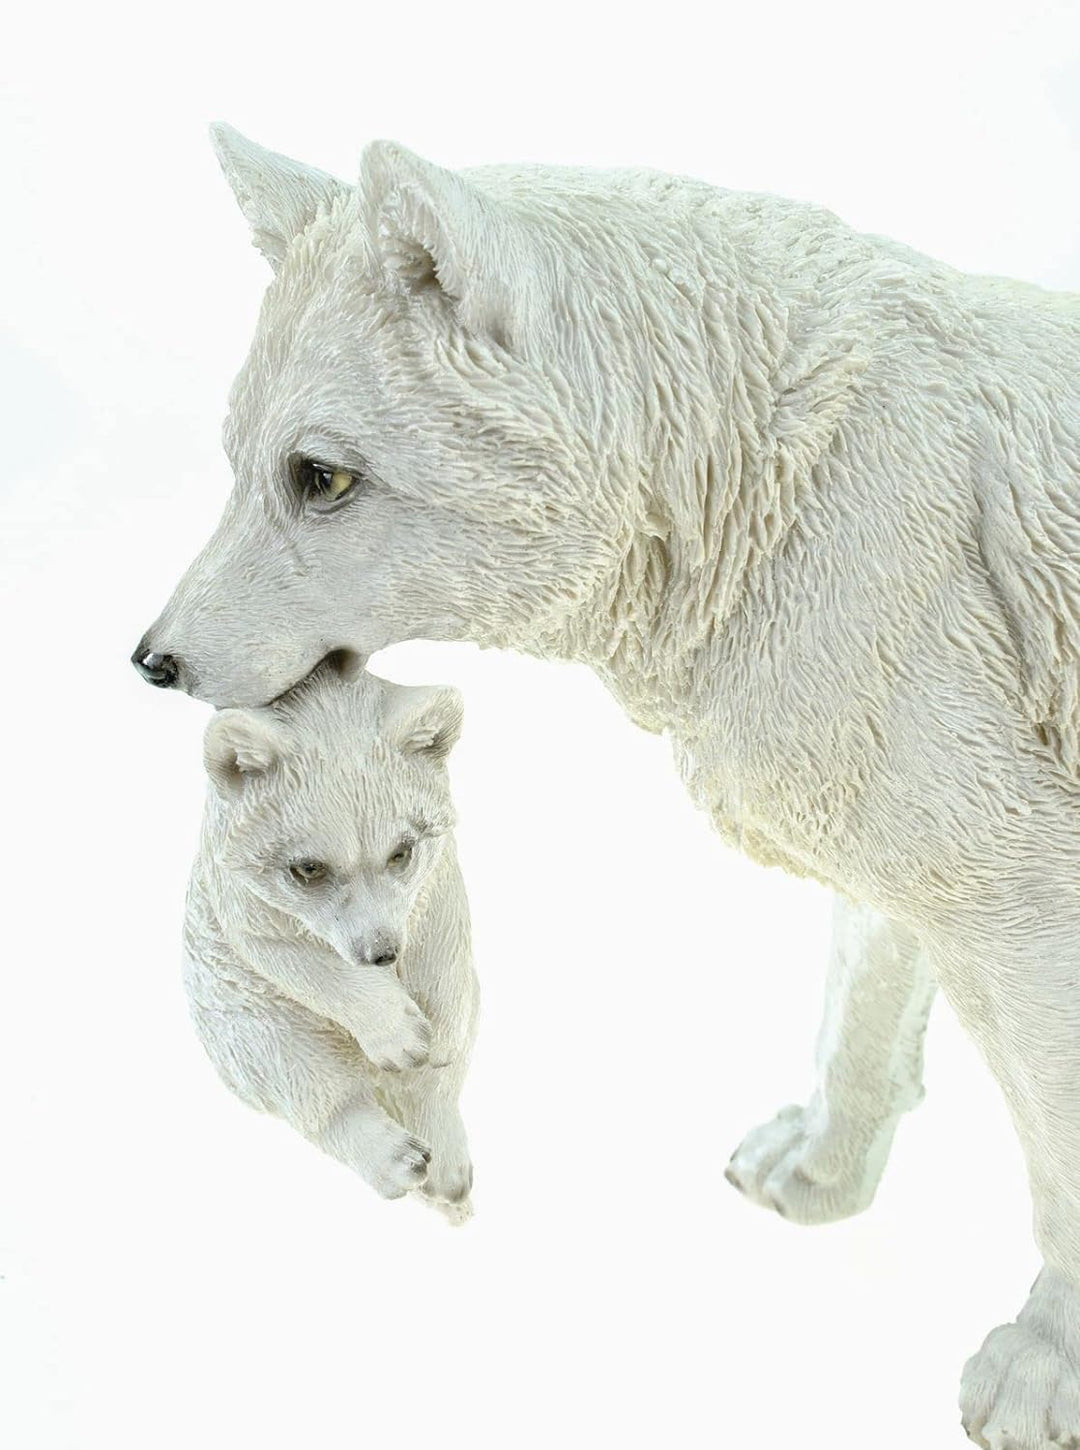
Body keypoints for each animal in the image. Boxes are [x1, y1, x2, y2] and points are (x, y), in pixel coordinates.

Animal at [184, 657, 477, 1218]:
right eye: (308, 867)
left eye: (402, 850)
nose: (380, 952)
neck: (324, 702)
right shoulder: (241, 895)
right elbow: (295, 957)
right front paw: (401, 1035)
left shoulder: (435, 880)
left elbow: (442, 947)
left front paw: (433, 1045)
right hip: (241, 1020)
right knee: (307, 1077)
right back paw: (401, 1159)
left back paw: (447, 1166)